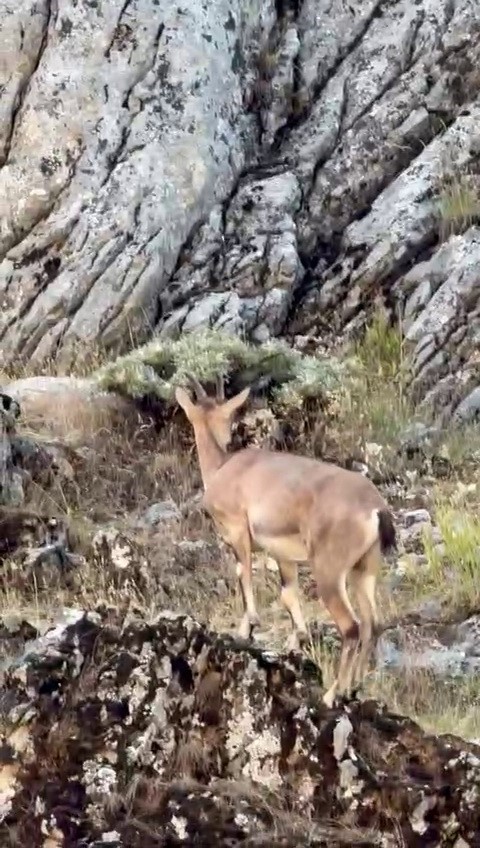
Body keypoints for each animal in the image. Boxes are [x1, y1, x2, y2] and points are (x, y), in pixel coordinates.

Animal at [174, 374, 396, 704]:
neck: (223, 468)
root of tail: (374, 508)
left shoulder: (238, 531)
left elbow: (243, 574)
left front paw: (246, 629)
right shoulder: (284, 556)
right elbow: (289, 595)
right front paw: (295, 642)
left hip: (330, 572)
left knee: (352, 627)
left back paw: (332, 694)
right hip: (364, 568)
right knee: (373, 624)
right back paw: (353, 688)